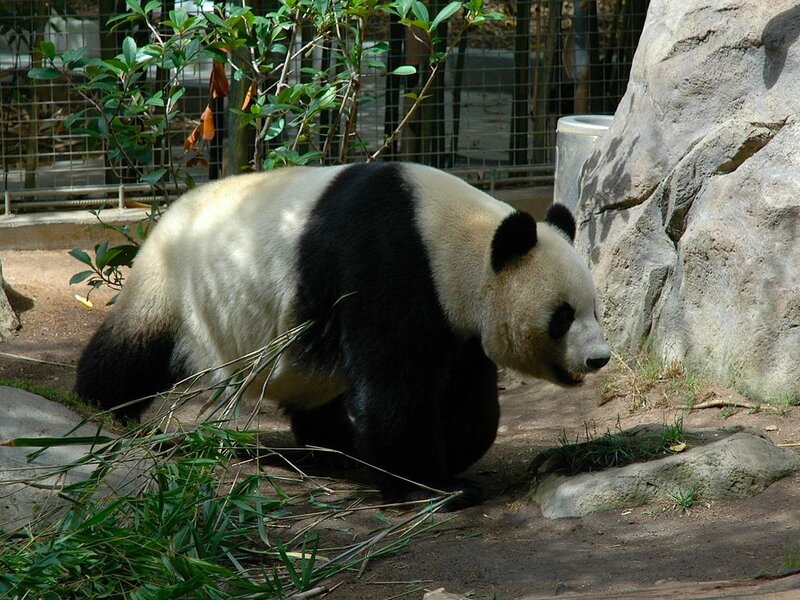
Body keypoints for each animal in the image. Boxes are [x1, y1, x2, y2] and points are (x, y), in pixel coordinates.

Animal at [75, 162, 610, 509]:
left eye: (594, 309)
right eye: (562, 316)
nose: (598, 358)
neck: (455, 237)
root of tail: (167, 213)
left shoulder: (456, 319)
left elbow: (468, 395)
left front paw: (451, 455)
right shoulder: (388, 265)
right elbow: (395, 387)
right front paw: (431, 487)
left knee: (311, 392)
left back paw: (339, 448)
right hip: (176, 289)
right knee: (133, 353)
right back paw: (97, 411)